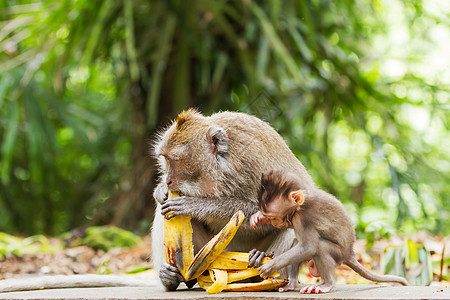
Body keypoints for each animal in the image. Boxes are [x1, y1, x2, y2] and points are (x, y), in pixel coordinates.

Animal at [152, 109, 316, 290]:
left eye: (175, 159)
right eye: (165, 159)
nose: (168, 180)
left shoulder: (252, 162)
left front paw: (194, 205)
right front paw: (160, 189)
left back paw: (264, 268)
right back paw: (171, 277)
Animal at [250, 170, 408, 294]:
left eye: (274, 217)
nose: (274, 222)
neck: (301, 205)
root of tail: (349, 253)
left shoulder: (302, 218)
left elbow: (309, 247)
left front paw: (271, 265)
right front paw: (259, 217)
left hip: (337, 253)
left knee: (320, 247)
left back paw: (327, 284)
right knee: (297, 243)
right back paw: (292, 284)